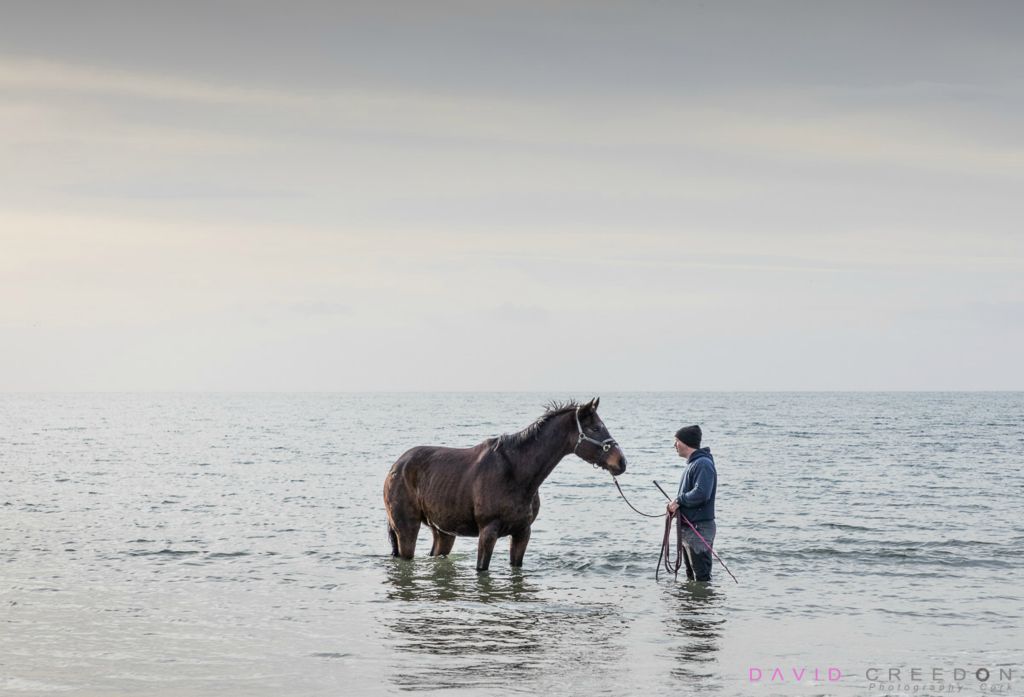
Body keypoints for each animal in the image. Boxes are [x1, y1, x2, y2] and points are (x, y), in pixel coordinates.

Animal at [383, 397, 627, 571]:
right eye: (595, 428)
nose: (621, 462)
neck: (516, 472)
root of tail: (396, 466)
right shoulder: (488, 532)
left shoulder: (522, 532)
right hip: (407, 529)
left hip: (443, 532)